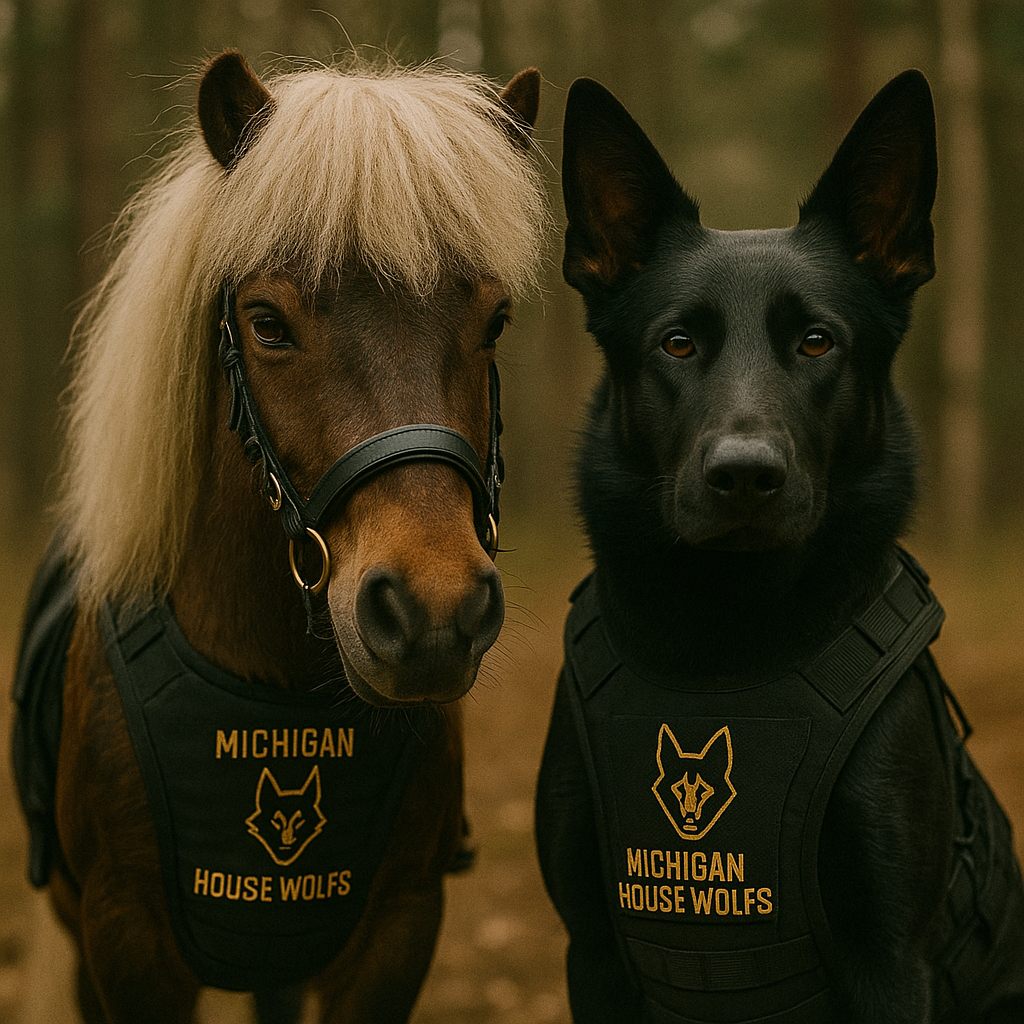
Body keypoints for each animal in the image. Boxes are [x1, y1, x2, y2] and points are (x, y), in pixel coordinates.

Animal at [11, 50, 547, 1023]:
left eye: (494, 321)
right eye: (267, 324)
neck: (273, 689)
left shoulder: (396, 932)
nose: (433, 615)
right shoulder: (123, 941)